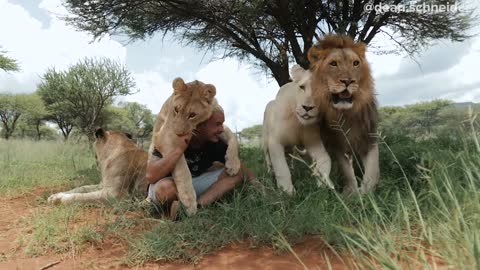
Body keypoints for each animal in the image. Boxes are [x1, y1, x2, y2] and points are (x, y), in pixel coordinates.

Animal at [150, 77, 240, 215]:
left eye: (192, 115)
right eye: (176, 109)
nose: (178, 133)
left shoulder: (219, 129)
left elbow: (233, 137)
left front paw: (233, 164)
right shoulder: (163, 136)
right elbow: (182, 167)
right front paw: (189, 200)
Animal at [262, 63, 334, 194]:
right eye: (302, 87)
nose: (307, 107)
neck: (298, 123)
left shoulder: (314, 143)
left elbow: (326, 160)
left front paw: (323, 184)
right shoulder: (275, 141)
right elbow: (281, 168)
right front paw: (287, 192)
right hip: (265, 140)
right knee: (268, 159)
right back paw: (270, 174)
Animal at [310, 34, 380, 194]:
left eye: (355, 63)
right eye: (333, 63)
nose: (348, 81)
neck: (347, 113)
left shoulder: (369, 136)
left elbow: (372, 169)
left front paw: (367, 192)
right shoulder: (337, 144)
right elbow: (346, 170)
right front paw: (351, 193)